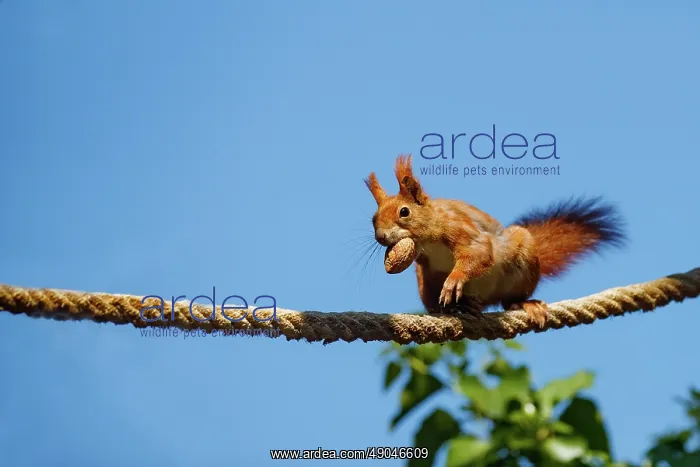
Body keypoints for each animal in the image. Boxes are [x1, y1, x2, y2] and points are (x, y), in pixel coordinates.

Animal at [365, 154, 626, 328]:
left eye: (404, 212)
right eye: (373, 219)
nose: (381, 237)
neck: (427, 241)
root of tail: (487, 298)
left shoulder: (461, 228)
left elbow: (478, 253)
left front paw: (455, 280)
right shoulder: (427, 265)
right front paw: (452, 301)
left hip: (522, 262)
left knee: (509, 301)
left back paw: (524, 304)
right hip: (425, 280)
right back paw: (461, 306)